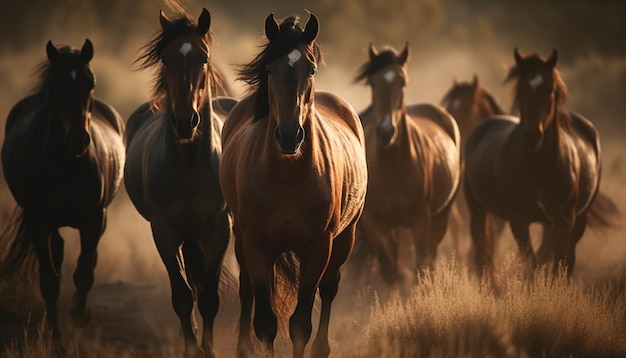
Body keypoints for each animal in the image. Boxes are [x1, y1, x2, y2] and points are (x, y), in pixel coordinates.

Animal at [0, 38, 124, 342]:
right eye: (57, 84)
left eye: (91, 83)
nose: (78, 140)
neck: (67, 165)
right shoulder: (37, 220)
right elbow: (50, 281)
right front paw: (54, 336)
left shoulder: (94, 218)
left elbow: (84, 272)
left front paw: (80, 314)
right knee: (57, 252)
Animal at [123, 8, 236, 358]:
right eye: (165, 58)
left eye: (204, 57)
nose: (185, 121)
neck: (188, 165)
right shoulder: (164, 233)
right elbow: (183, 296)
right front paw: (191, 348)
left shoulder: (218, 230)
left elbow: (209, 296)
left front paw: (208, 349)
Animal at [219, 12, 368, 358]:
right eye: (269, 69)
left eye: (310, 69)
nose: (289, 136)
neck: (288, 176)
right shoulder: (257, 244)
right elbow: (265, 323)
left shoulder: (318, 247)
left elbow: (300, 324)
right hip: (242, 239)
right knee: (247, 291)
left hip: (345, 239)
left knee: (329, 289)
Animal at [354, 42, 460, 288]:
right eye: (373, 82)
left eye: (403, 82)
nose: (386, 131)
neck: (392, 165)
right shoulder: (374, 226)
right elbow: (390, 271)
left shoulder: (420, 221)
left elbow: (420, 267)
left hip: (441, 217)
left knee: (429, 258)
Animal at [460, 49, 612, 280]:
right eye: (521, 89)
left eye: (550, 89)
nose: (532, 136)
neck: (540, 166)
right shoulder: (518, 221)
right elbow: (531, 262)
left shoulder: (563, 221)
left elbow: (558, 263)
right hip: (478, 209)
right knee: (483, 255)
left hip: (577, 219)